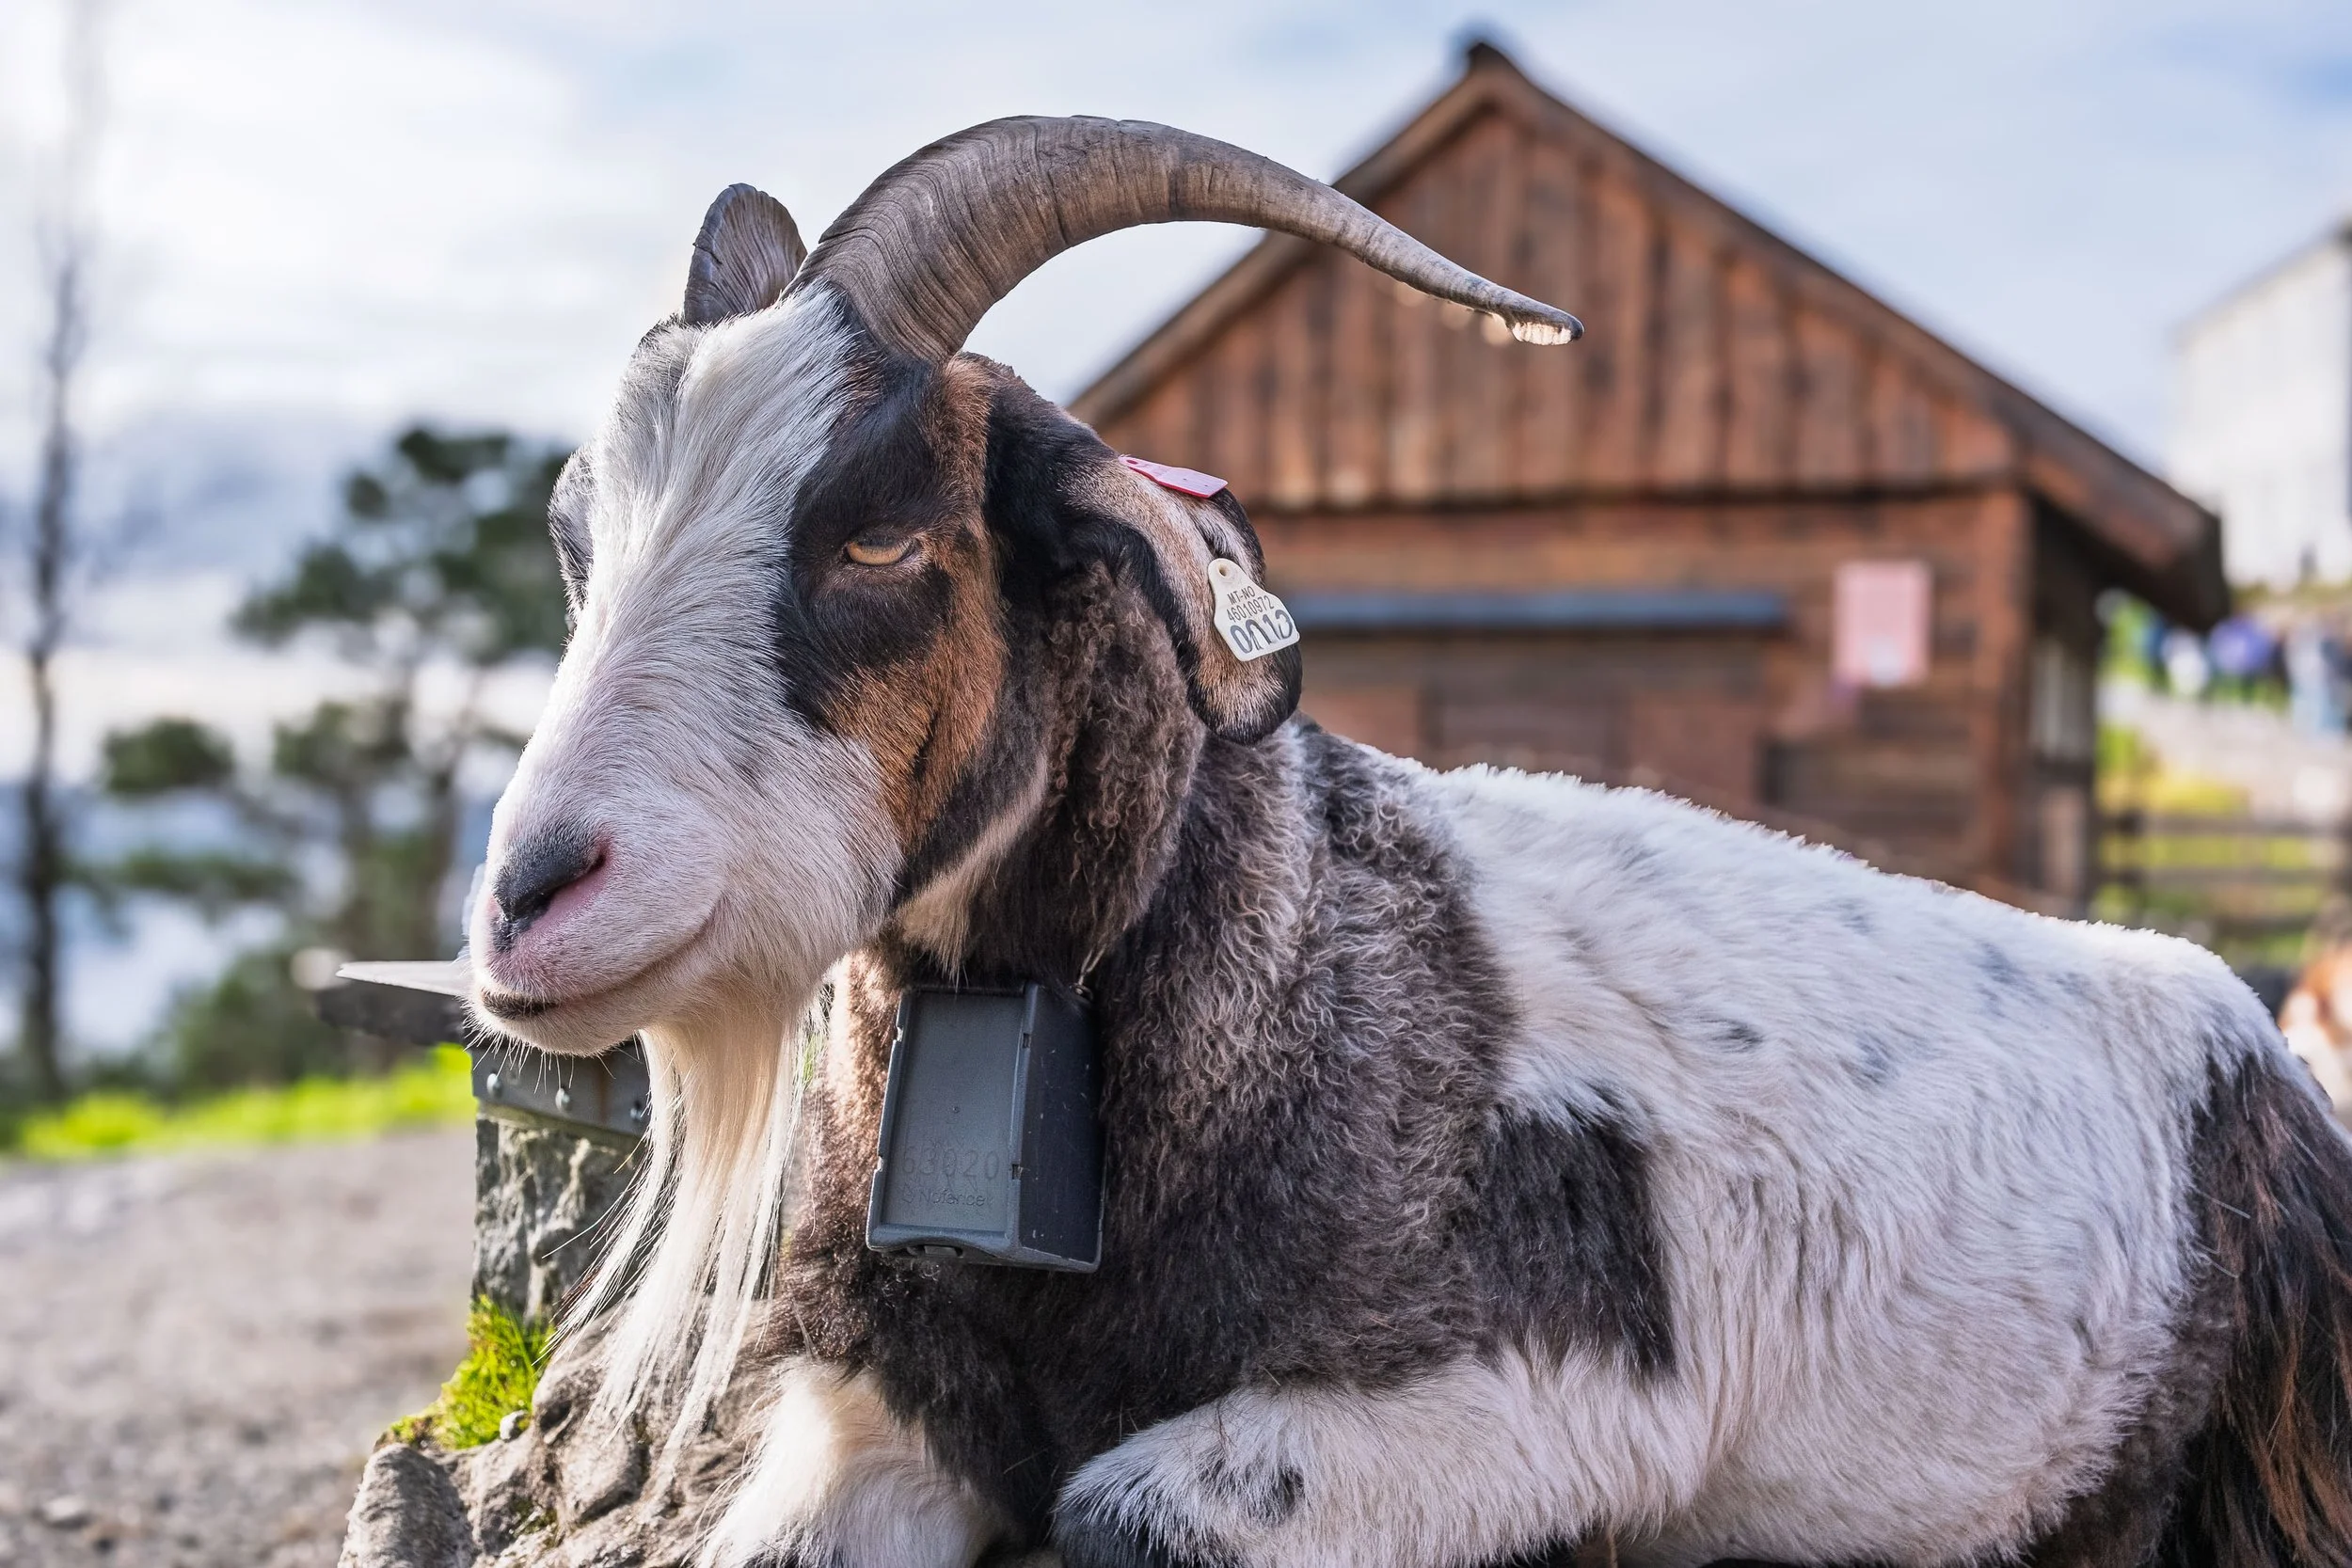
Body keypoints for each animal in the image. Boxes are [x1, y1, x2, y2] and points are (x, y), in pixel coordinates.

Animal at [468, 118, 2352, 1568]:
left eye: (886, 535)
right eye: (575, 535)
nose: (529, 902)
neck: (1283, 963)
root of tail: (2237, 1027)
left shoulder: (1541, 1394)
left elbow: (1124, 1511)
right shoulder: (868, 1412)